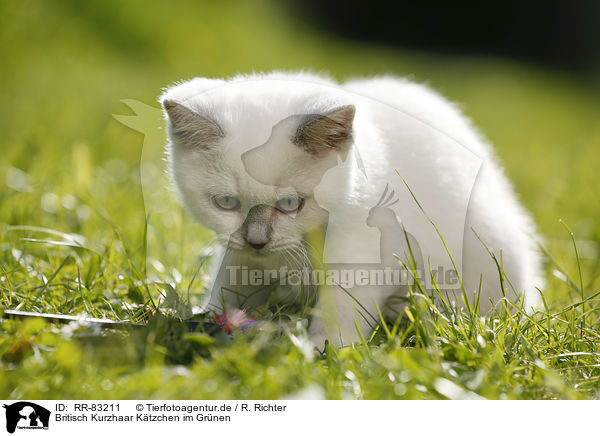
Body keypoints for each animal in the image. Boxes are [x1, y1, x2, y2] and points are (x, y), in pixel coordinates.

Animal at [161, 72, 544, 348]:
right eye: (226, 203)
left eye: (291, 204)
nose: (257, 241)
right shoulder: (240, 256)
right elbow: (228, 287)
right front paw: (209, 322)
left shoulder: (363, 252)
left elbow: (342, 307)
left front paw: (324, 351)